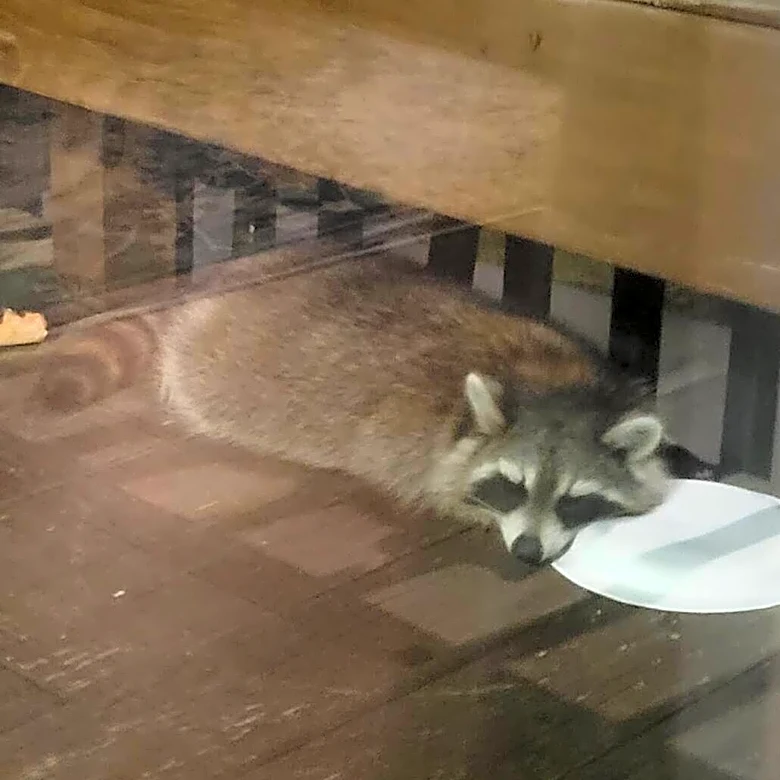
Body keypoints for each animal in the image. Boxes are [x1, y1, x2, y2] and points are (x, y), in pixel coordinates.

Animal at [159, 250, 715, 565]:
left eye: (573, 499)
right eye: (510, 487)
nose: (527, 553)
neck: (557, 383)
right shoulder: (409, 447)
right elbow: (437, 486)